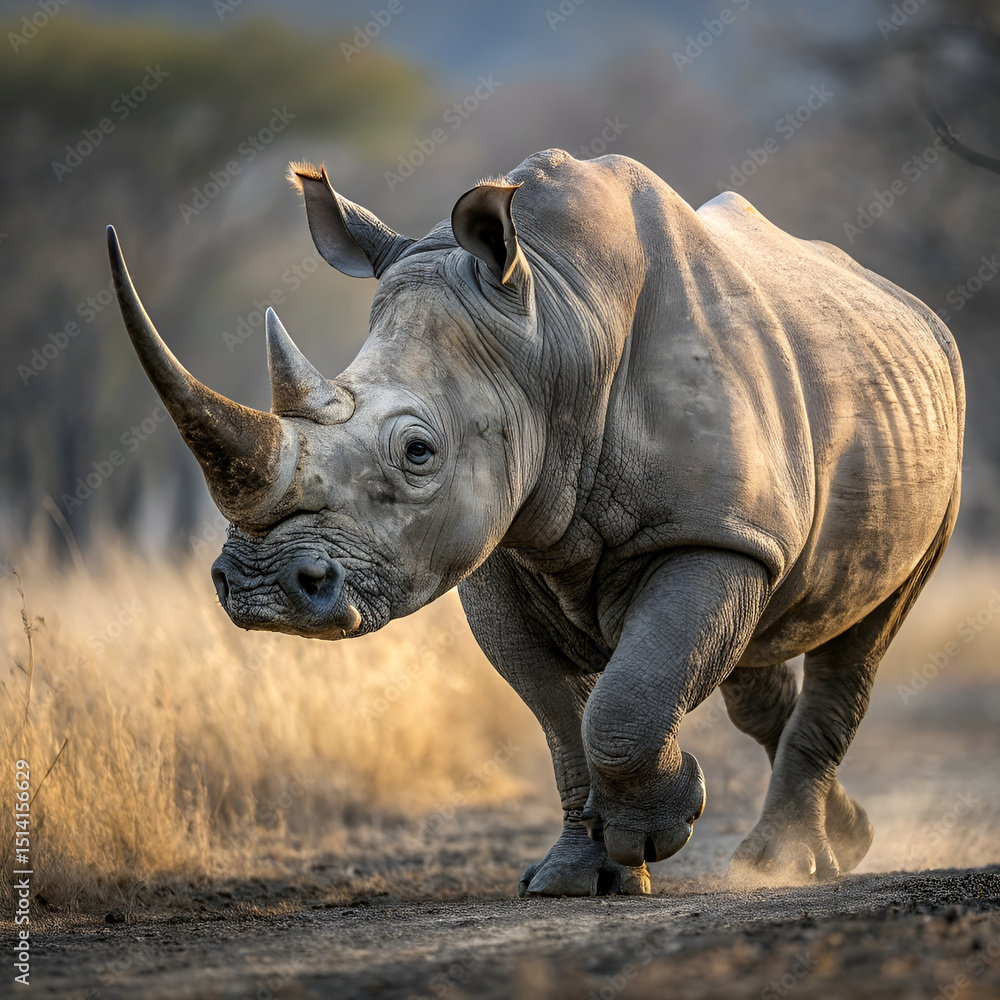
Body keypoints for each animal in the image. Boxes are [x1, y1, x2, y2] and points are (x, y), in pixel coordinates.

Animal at [107, 148, 963, 896]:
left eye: (418, 451)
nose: (259, 589)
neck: (552, 325)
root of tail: (914, 309)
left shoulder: (708, 532)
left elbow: (624, 701)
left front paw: (657, 831)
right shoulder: (499, 550)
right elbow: (561, 717)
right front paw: (574, 877)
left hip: (931, 435)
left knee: (863, 633)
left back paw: (783, 864)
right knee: (757, 642)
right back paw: (846, 837)